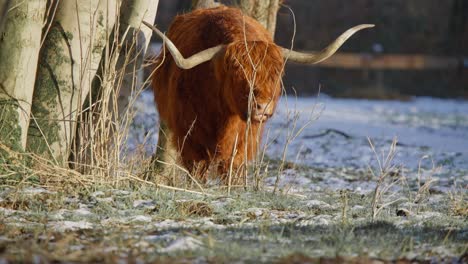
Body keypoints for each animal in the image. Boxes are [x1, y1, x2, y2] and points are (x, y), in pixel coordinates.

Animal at [143, 5, 372, 184]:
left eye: (277, 71)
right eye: (236, 69)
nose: (263, 106)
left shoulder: (244, 143)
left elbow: (233, 172)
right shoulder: (191, 140)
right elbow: (197, 172)